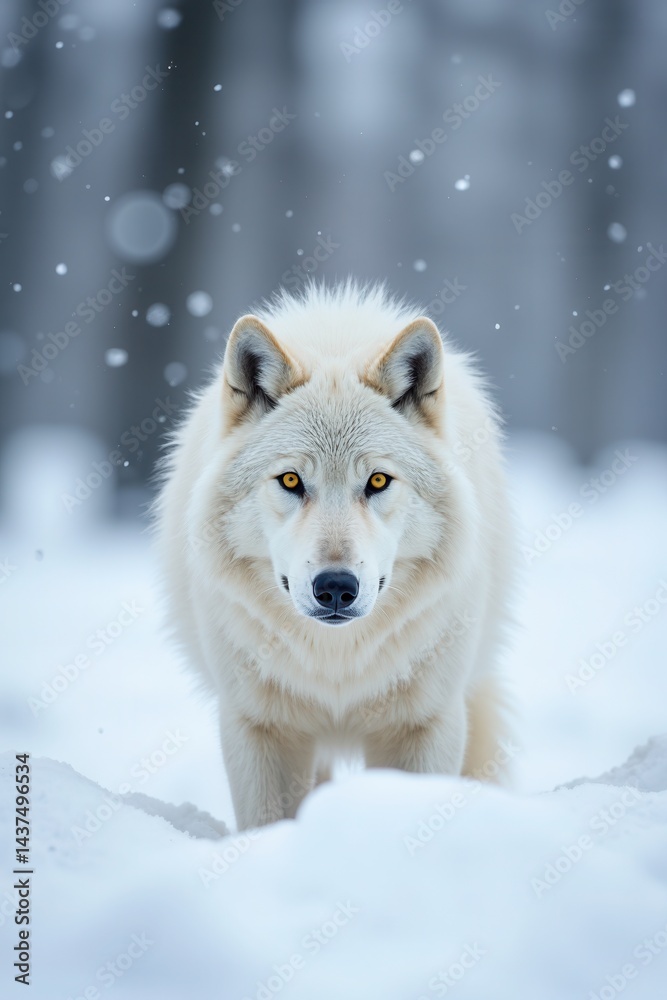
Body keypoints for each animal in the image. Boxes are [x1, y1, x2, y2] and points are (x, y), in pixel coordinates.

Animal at [154, 283, 515, 830]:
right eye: (290, 480)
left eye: (378, 481)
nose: (336, 588)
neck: (336, 665)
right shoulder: (260, 727)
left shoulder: (425, 723)